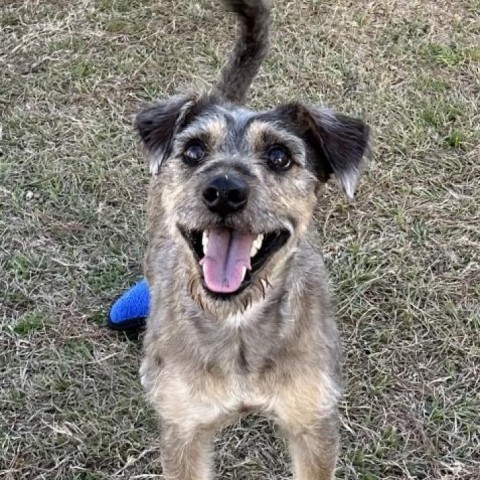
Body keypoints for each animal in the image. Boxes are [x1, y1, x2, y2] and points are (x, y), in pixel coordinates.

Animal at [137, 0, 370, 480]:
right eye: (193, 151)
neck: (238, 326)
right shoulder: (183, 430)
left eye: (279, 156)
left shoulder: (313, 423)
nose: (224, 190)